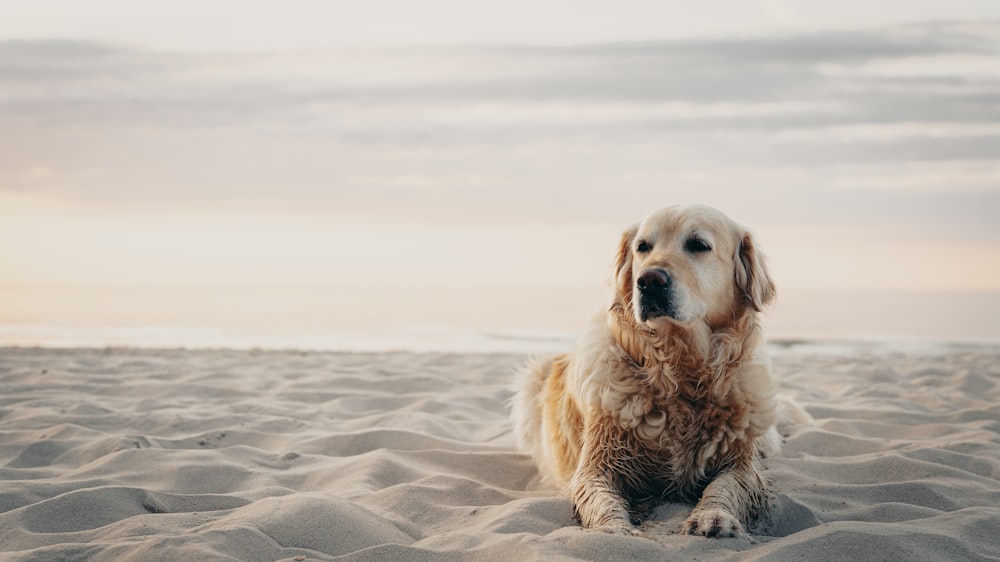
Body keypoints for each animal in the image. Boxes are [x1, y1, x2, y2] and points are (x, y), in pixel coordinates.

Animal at [512, 203, 808, 536]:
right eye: (642, 247)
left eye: (699, 245)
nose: (649, 280)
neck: (680, 369)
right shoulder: (597, 465)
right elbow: (601, 498)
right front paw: (615, 529)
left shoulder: (740, 462)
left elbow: (725, 486)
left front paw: (713, 516)